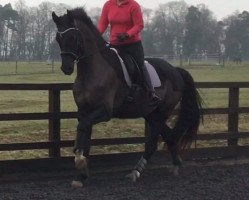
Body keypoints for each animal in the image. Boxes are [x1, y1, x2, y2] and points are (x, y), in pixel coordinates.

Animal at [52, 8, 202, 187]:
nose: (66, 68)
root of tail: (175, 70)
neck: (92, 70)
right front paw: (81, 175)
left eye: (73, 37)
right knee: (169, 135)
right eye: (58, 38)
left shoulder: (104, 112)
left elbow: (82, 128)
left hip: (162, 112)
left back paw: (135, 172)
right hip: (151, 114)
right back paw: (176, 165)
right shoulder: (83, 112)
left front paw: (80, 163)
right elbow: (85, 135)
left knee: (152, 143)